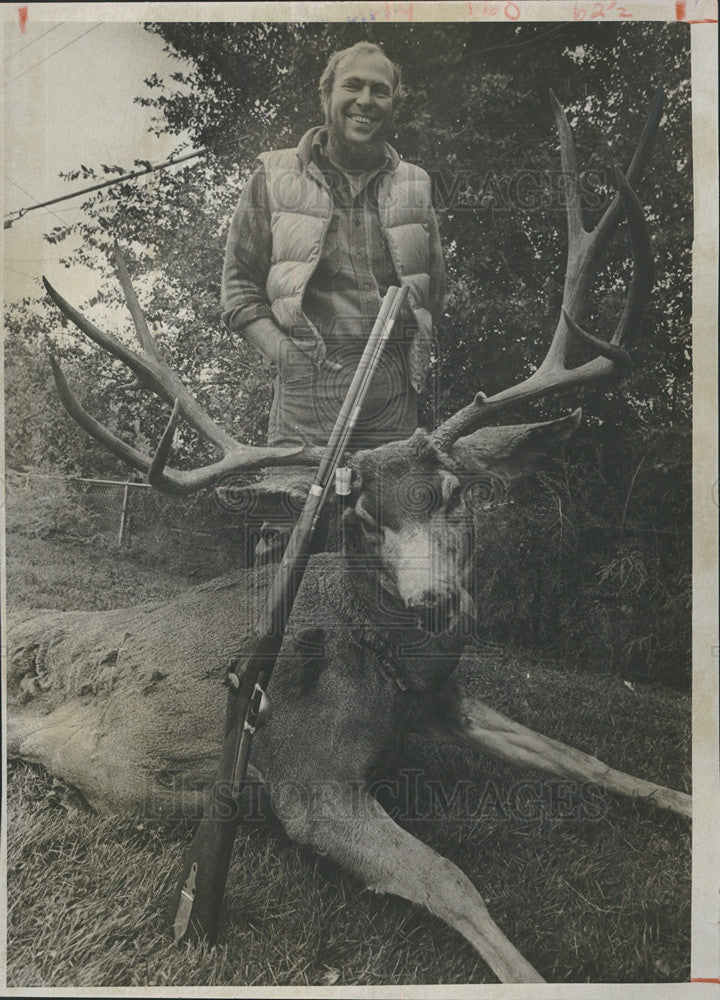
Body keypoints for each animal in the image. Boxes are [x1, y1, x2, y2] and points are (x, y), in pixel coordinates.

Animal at [7, 92, 692, 984]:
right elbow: (450, 880)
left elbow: (595, 760)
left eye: (457, 494)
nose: (436, 600)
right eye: (363, 520)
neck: (390, 664)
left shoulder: (449, 698)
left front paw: (689, 800)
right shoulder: (308, 782)